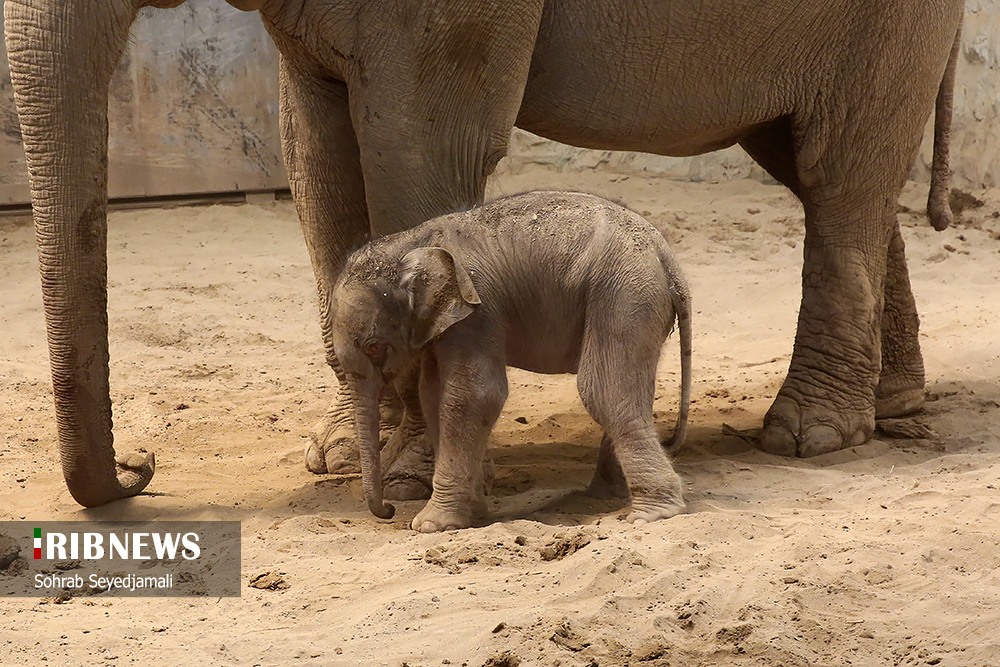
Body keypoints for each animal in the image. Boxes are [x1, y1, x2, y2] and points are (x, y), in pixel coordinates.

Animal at [332, 190, 692, 536]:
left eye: (375, 347)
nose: (388, 510)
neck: (409, 242)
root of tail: (668, 259)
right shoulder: (441, 325)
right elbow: (432, 395)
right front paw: (471, 514)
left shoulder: (478, 312)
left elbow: (475, 396)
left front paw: (431, 526)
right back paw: (605, 496)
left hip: (624, 295)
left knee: (602, 390)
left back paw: (650, 514)